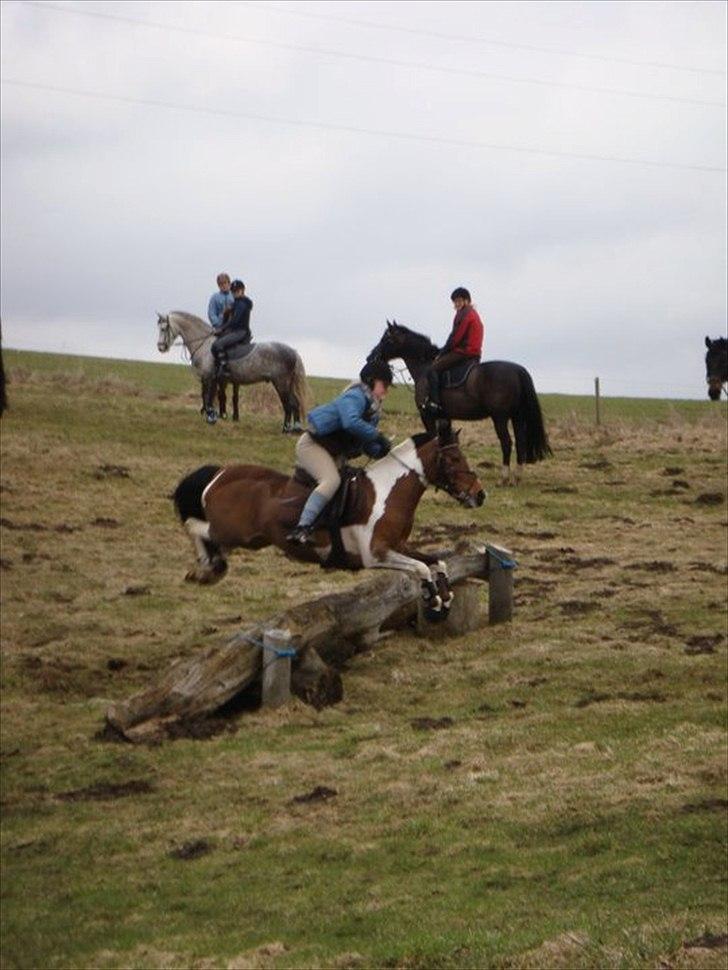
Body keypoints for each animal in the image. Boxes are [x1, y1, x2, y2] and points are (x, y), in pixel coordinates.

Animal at [156, 310, 310, 432]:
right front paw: (210, 416)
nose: (160, 347)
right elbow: (209, 397)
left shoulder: (209, 378)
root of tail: (293, 351)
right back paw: (295, 428)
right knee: (295, 403)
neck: (204, 345)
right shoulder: (211, 379)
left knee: (288, 404)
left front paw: (211, 417)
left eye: (164, 328)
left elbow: (208, 398)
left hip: (281, 383)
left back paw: (285, 428)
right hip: (287, 384)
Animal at [173, 430, 486, 620]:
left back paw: (212, 568)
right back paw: (205, 567)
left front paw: (444, 597)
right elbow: (421, 567)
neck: (389, 490)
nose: (480, 495)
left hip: (248, 537)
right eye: (454, 458)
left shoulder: (399, 545)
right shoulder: (377, 554)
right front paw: (433, 600)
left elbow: (436, 562)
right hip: (234, 530)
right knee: (196, 528)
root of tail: (220, 473)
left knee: (213, 542)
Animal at [366, 320, 548, 482]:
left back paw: (503, 478)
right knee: (521, 443)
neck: (424, 369)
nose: (370, 357)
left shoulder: (427, 415)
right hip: (517, 417)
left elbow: (433, 439)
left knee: (507, 442)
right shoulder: (444, 417)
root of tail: (518, 370)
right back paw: (516, 477)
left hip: (500, 417)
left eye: (386, 339)